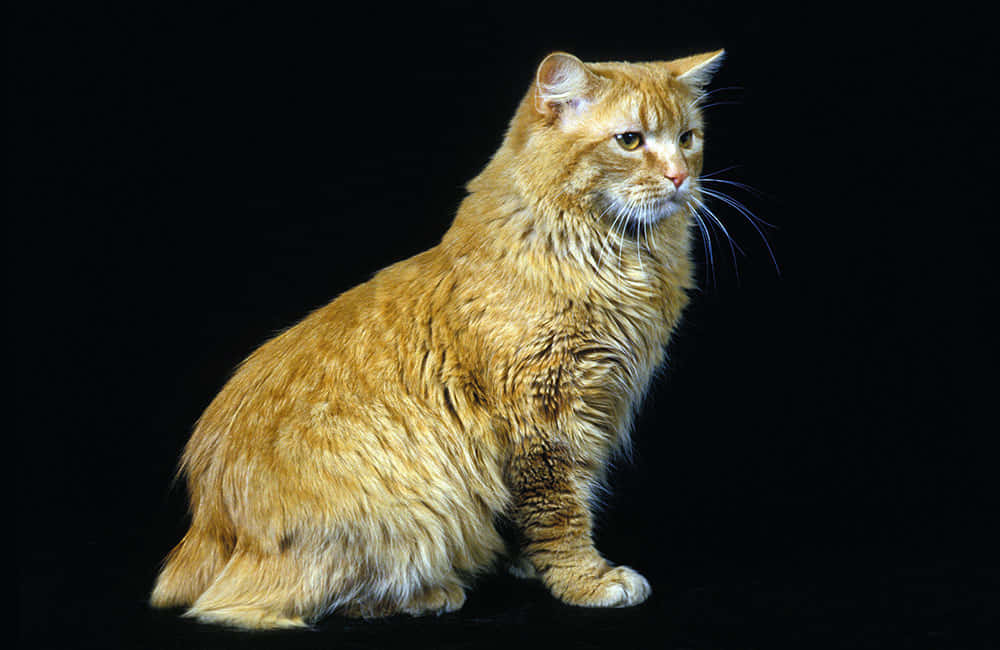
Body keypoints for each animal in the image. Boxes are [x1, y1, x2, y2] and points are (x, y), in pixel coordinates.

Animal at [148, 50, 724, 628]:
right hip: (409, 496)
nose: (678, 177)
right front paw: (584, 580)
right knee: (255, 601)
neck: (611, 257)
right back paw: (427, 594)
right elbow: (561, 515)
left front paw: (527, 565)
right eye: (629, 140)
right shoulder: (546, 421)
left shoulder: (591, 408)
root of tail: (207, 523)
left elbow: (537, 515)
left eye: (687, 138)